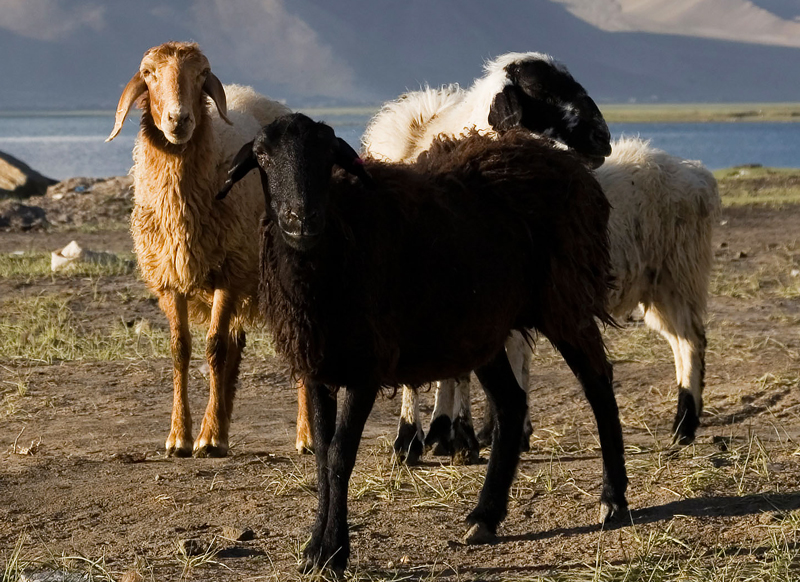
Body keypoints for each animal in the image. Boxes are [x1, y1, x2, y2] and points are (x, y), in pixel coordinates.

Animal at [107, 42, 290, 460]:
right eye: (149, 74)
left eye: (201, 74)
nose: (179, 119)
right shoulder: (169, 278)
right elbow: (181, 350)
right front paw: (181, 437)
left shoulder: (229, 270)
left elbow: (214, 349)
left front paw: (206, 440)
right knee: (237, 349)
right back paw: (218, 425)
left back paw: (304, 436)